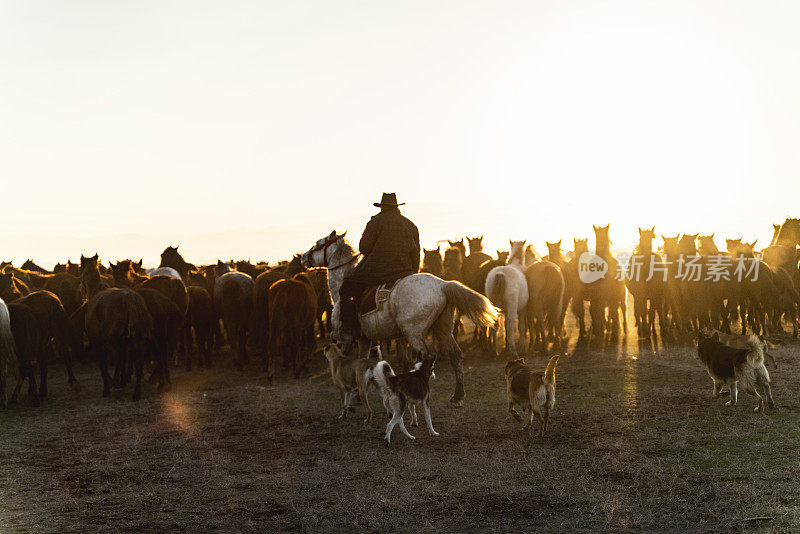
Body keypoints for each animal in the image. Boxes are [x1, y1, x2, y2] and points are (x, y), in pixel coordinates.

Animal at [304, 229, 496, 406]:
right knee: (455, 355)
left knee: (428, 356)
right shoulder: (371, 339)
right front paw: (360, 395)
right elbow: (378, 362)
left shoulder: (348, 339)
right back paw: (457, 396)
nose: (304, 257)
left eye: (319, 243)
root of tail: (443, 285)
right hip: (442, 328)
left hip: (415, 333)